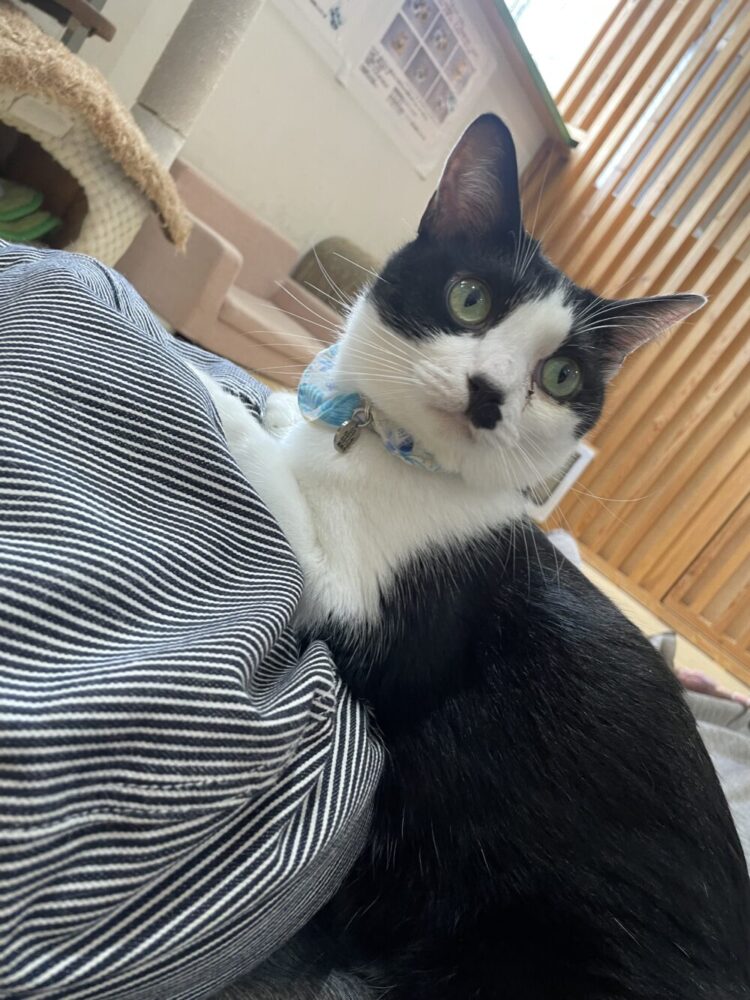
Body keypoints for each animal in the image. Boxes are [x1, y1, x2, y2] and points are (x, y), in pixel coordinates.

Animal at [200, 114, 750, 999]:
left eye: (561, 377)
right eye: (470, 298)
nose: (489, 392)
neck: (398, 454)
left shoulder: (394, 635)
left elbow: (286, 497)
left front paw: (221, 397)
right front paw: (284, 407)